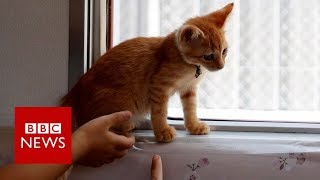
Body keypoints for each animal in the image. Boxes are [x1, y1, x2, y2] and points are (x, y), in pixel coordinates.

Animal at [62, 3, 232, 142]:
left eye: (224, 51)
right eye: (208, 56)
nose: (222, 66)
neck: (190, 66)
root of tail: (76, 91)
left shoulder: (188, 89)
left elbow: (190, 108)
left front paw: (194, 126)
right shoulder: (158, 85)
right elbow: (159, 111)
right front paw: (162, 132)